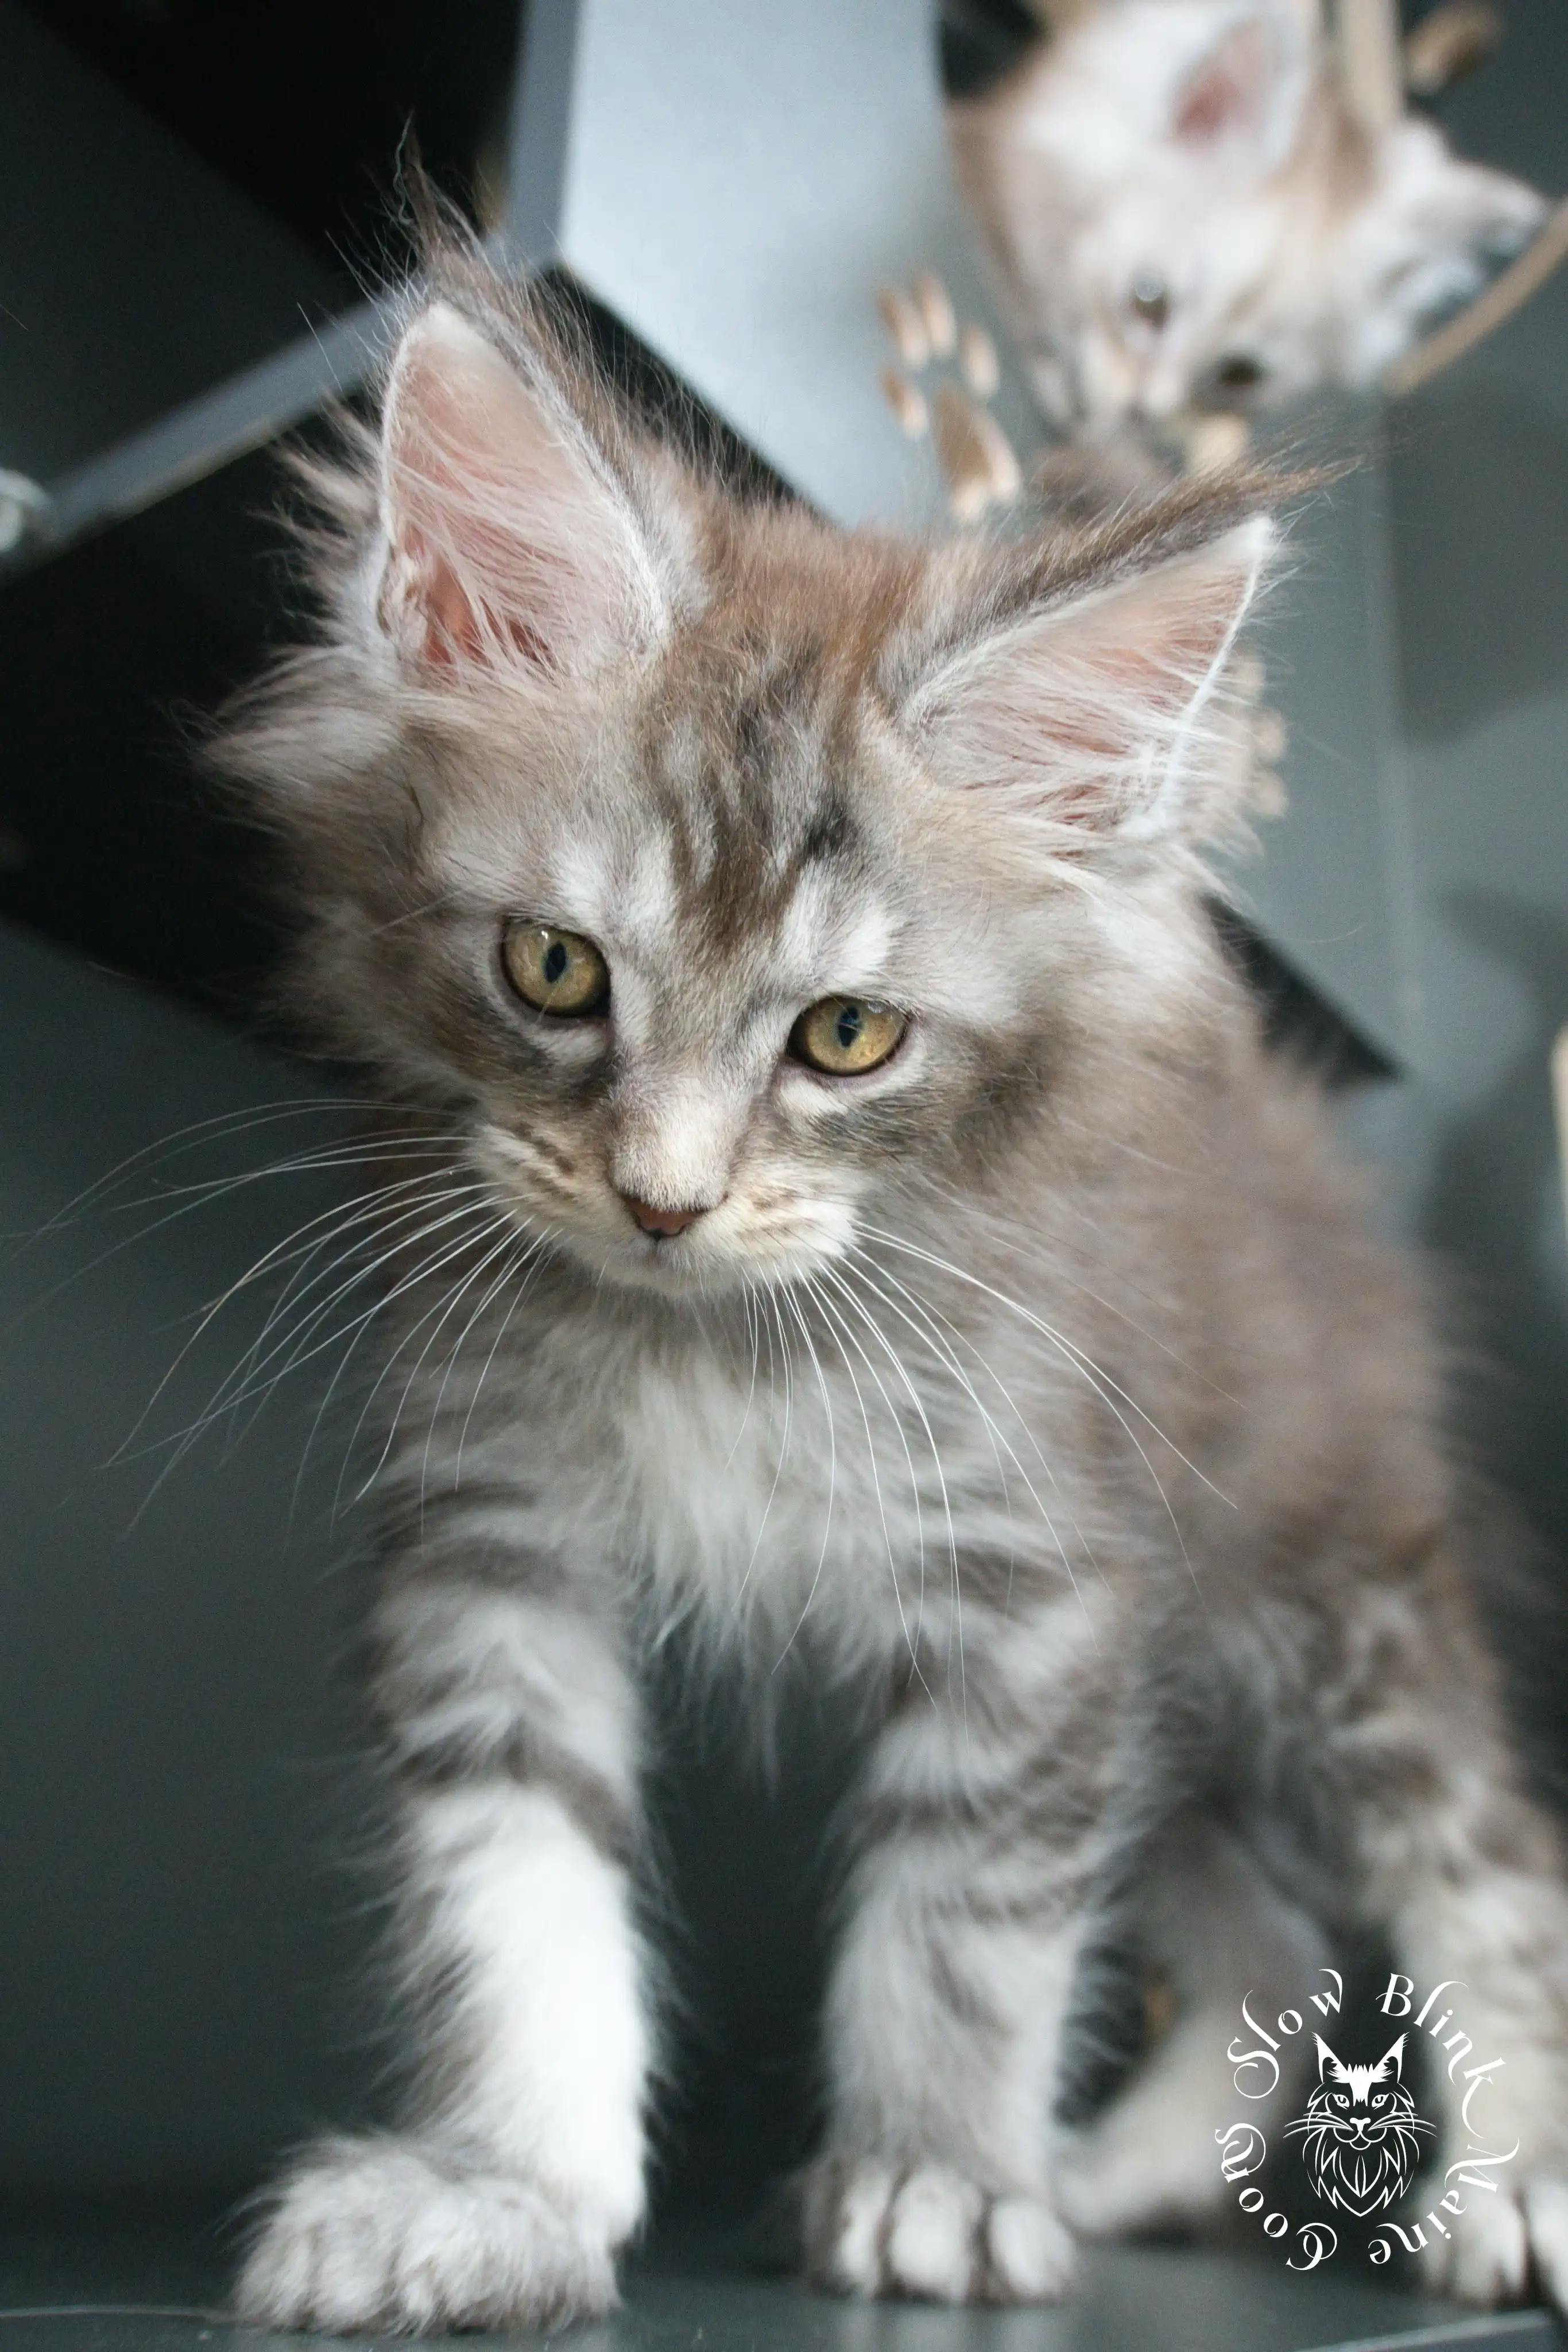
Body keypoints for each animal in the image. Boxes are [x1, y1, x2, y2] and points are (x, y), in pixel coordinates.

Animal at [227, 248, 1568, 2323]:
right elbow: (512, 1885)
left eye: (845, 1036)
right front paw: (505, 2189)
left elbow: (968, 1919)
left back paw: (1509, 2185)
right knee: (1262, 1941)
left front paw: (933, 2174)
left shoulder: (1035, 1583)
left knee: (1493, 1867)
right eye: (552, 969)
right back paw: (1117, 2175)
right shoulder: (491, 1544)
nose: (664, 1199)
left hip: (1335, 1598)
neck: (707, 1335)